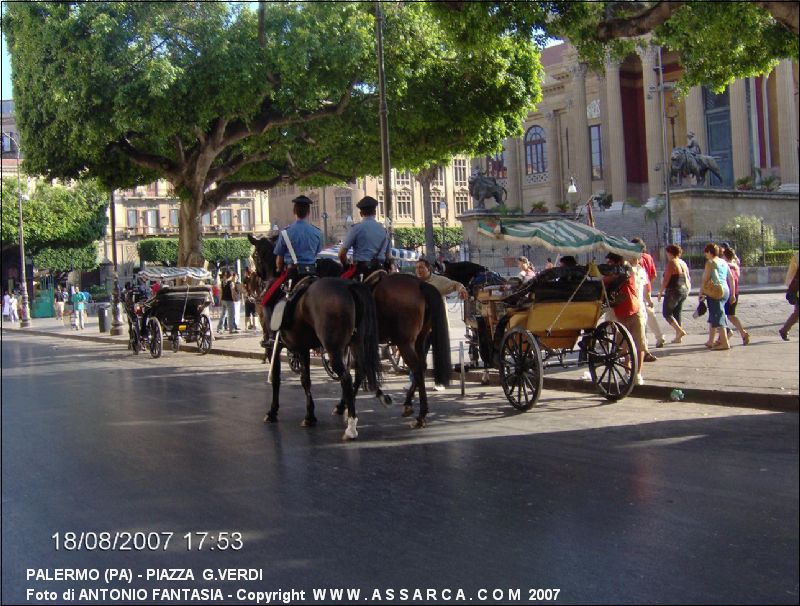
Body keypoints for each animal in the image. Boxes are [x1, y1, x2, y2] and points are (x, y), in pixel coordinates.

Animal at [248, 235, 382, 440]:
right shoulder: (302, 348)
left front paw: (272, 411)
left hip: (334, 348)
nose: (259, 276)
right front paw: (310, 416)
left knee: (346, 377)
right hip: (357, 343)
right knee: (359, 372)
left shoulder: (276, 347)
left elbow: (277, 379)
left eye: (255, 255)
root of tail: (350, 287)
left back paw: (350, 425)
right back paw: (345, 410)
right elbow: (306, 380)